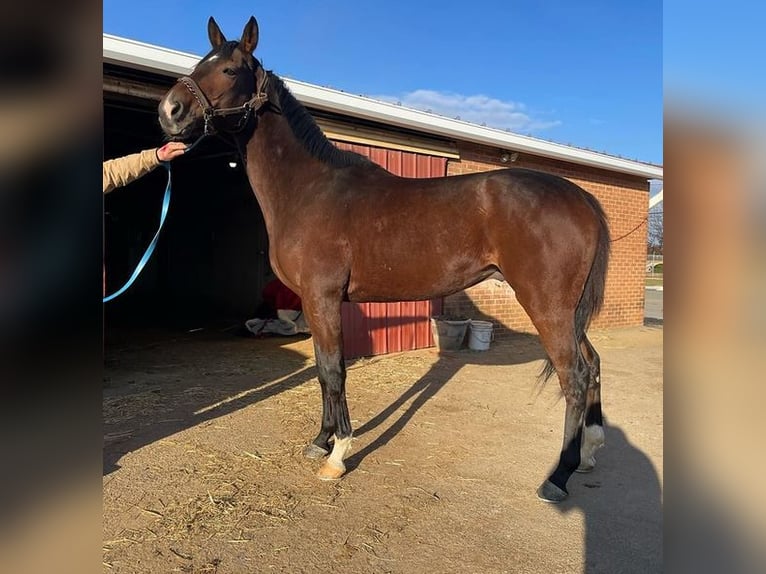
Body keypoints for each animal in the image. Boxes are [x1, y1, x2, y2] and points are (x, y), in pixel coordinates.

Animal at [160, 15, 612, 504]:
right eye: (200, 62)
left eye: (228, 70)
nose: (169, 111)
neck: (309, 190)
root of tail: (581, 197)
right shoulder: (317, 303)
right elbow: (322, 370)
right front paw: (320, 441)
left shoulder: (321, 297)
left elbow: (334, 370)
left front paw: (338, 455)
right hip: (568, 312)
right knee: (593, 365)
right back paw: (590, 453)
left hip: (547, 306)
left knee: (575, 377)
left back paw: (558, 476)